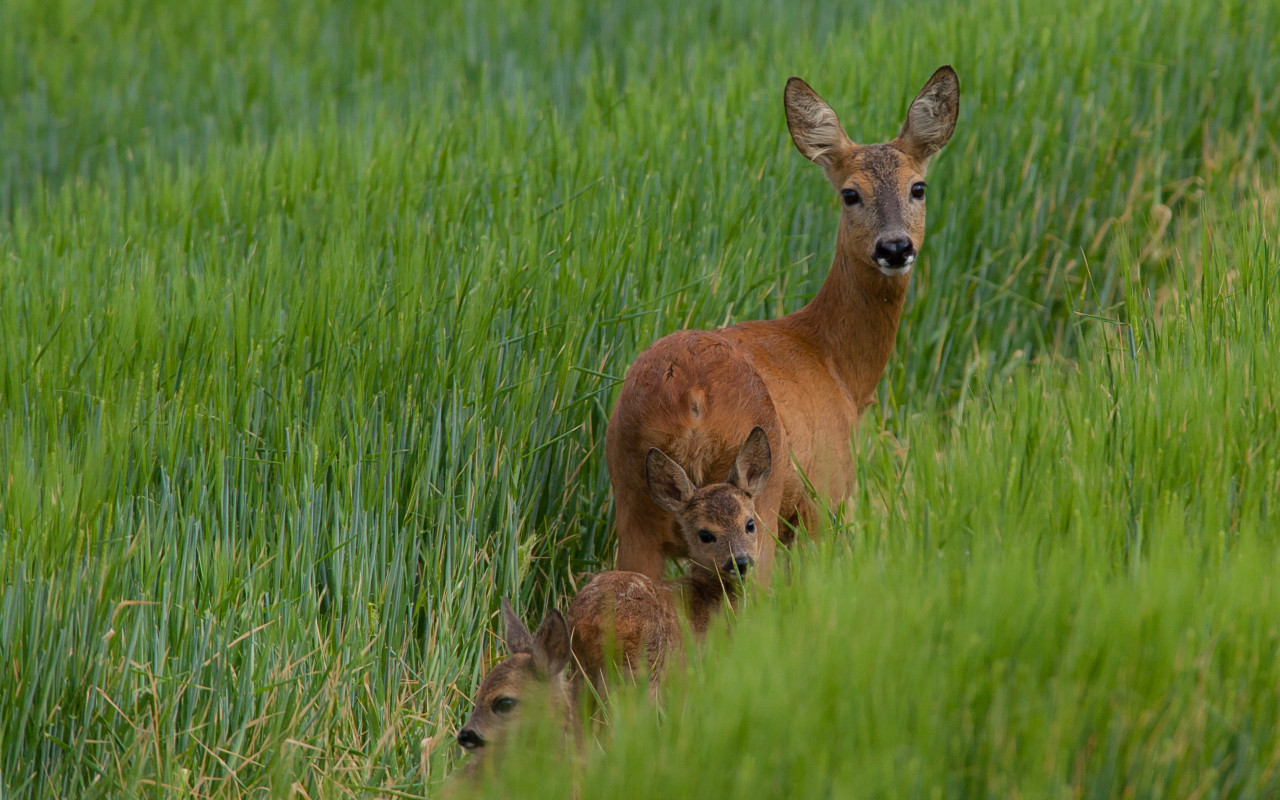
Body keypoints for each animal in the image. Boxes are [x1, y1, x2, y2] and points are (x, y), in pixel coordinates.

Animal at [609, 65, 962, 576]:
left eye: (919, 187)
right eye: (850, 193)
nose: (895, 247)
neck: (838, 368)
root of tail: (691, 397)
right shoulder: (826, 494)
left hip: (631, 504)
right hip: (761, 500)